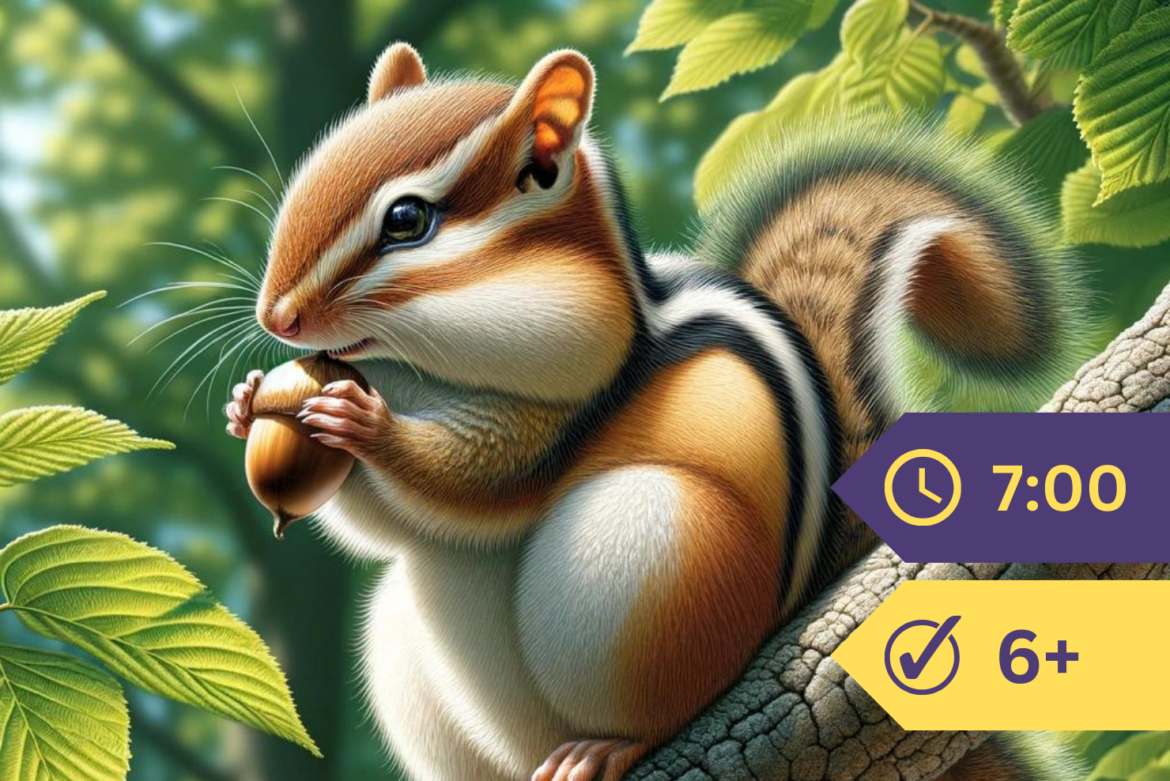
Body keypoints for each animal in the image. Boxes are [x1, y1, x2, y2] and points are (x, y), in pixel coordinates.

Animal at [224, 43, 1086, 781]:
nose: (277, 318)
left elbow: (476, 484)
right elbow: (384, 528)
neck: (413, 373)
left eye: (407, 220)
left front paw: (366, 426)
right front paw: (250, 402)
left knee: (664, 708)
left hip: (653, 558)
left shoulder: (569, 394)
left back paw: (608, 745)